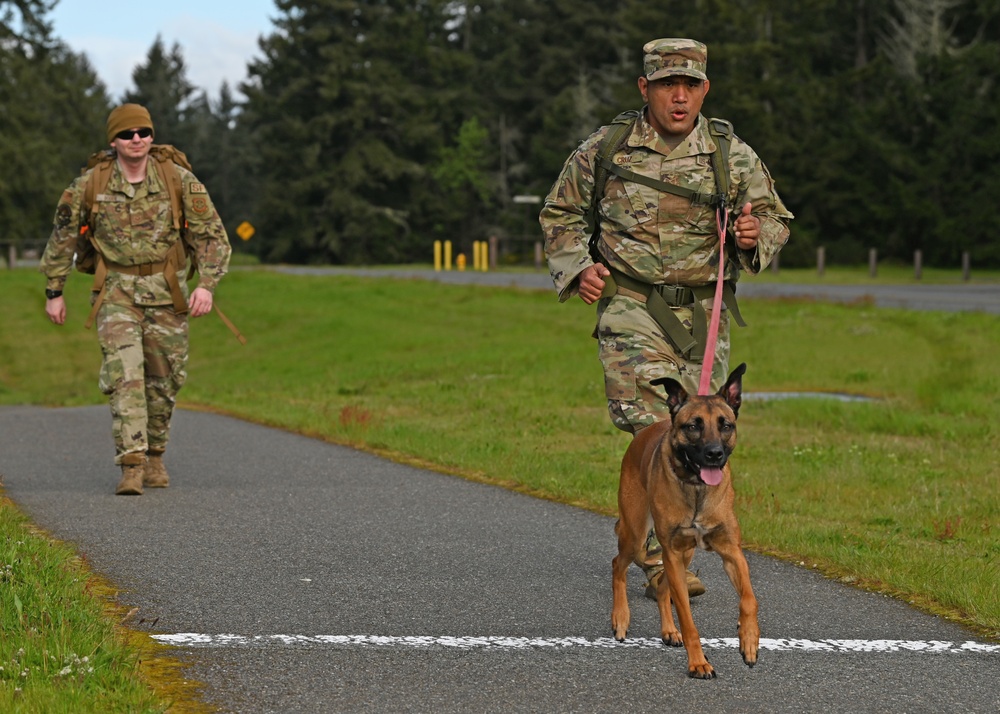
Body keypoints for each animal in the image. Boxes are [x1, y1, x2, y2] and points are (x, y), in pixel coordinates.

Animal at [608, 364, 756, 676]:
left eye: (726, 425)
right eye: (693, 426)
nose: (714, 454)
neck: (696, 488)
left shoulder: (731, 552)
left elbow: (749, 599)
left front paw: (749, 640)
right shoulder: (673, 552)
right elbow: (688, 620)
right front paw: (698, 662)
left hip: (684, 554)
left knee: (664, 587)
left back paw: (669, 631)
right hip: (637, 534)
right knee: (618, 565)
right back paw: (621, 619)